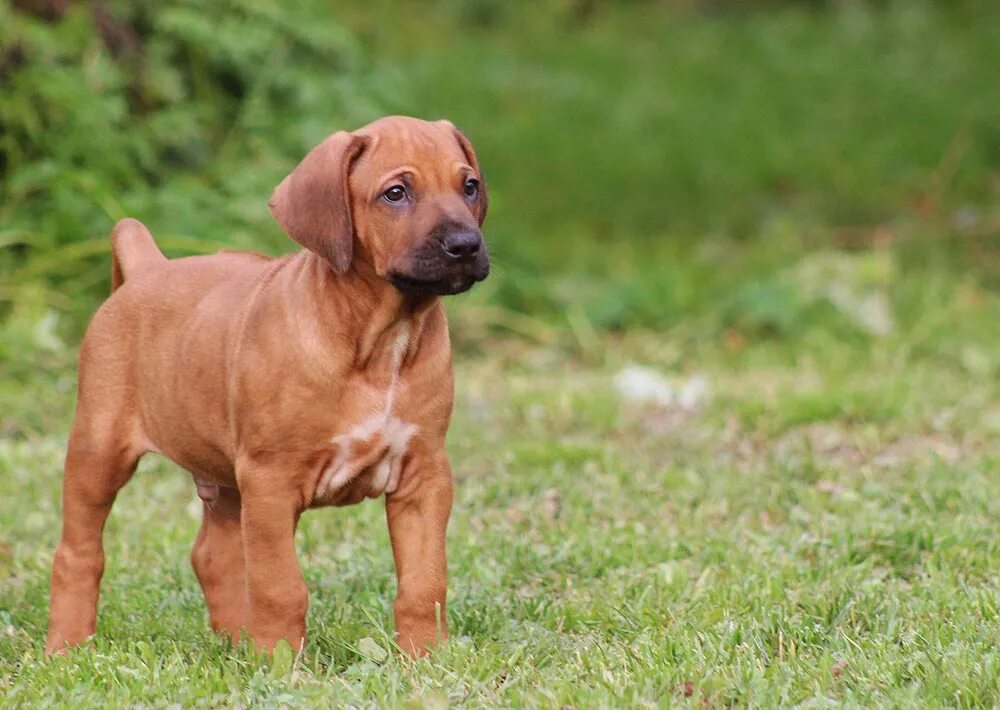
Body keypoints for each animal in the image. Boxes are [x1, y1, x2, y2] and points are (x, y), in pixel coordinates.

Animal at [47, 115, 492, 656]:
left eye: (469, 186)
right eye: (396, 193)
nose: (465, 245)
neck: (383, 339)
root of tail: (148, 268)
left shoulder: (424, 476)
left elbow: (424, 582)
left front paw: (423, 658)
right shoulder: (271, 480)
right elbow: (280, 586)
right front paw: (283, 662)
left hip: (224, 475)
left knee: (212, 555)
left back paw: (238, 646)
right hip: (100, 449)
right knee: (78, 552)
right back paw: (67, 647)